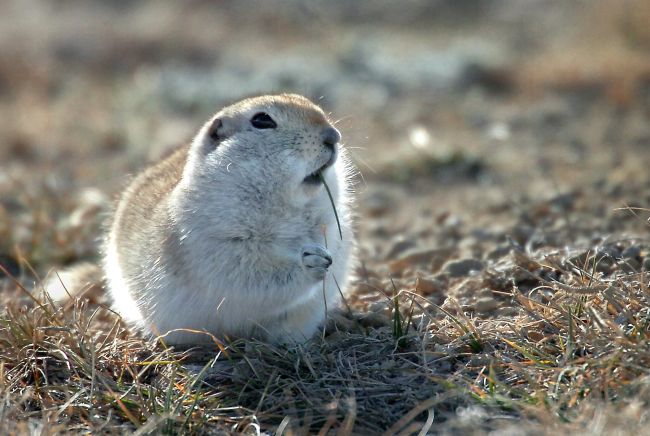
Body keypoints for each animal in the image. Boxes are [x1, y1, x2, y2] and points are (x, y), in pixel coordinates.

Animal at [102, 94, 354, 344]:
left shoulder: (330, 227)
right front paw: (312, 261)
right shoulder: (208, 245)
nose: (333, 136)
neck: (285, 205)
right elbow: (251, 276)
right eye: (262, 120)